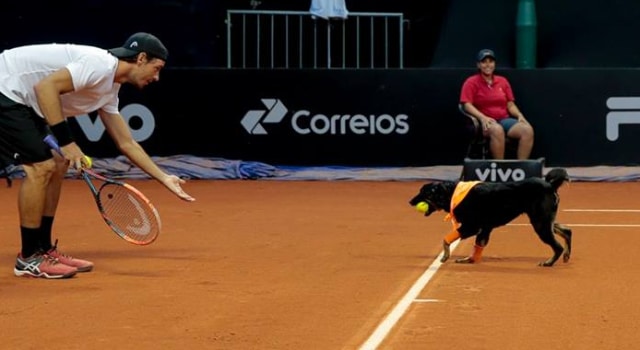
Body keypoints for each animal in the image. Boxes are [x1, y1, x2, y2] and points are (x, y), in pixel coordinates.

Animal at [412, 168, 572, 266]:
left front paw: (446, 256)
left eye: (423, 192)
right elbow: (478, 245)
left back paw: (549, 263)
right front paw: (470, 260)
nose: (410, 201)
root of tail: (550, 185)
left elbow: (445, 239)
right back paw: (566, 255)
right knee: (567, 231)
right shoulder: (484, 228)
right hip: (544, 220)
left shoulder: (472, 226)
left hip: (540, 223)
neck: (451, 193)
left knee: (557, 247)